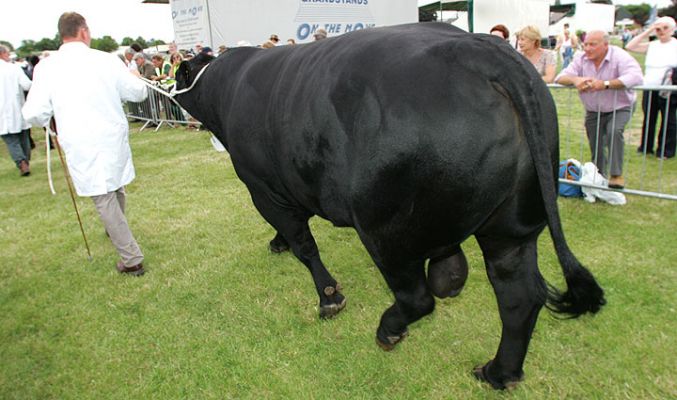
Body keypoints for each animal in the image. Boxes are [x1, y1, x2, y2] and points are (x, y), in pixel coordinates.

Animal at [173, 22, 606, 389]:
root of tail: (480, 50)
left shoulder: (263, 189)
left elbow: (304, 245)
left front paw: (329, 298)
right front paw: (450, 273)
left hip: (386, 229)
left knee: (417, 297)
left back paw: (389, 330)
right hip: (512, 227)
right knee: (519, 297)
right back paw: (499, 372)